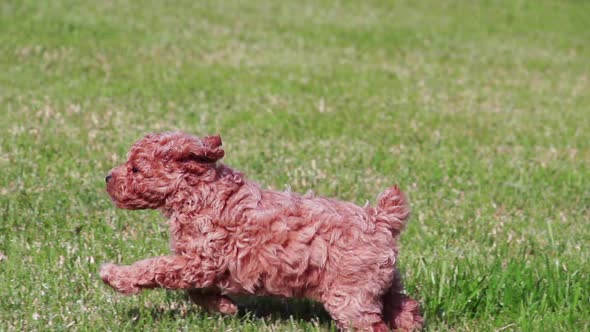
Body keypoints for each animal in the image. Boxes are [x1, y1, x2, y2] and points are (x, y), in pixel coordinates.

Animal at [103, 132, 426, 332]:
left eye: (135, 169)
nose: (106, 177)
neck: (198, 191)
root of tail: (380, 218)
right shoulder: (202, 264)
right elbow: (196, 291)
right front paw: (224, 307)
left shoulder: (200, 260)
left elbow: (155, 268)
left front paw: (115, 275)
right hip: (381, 281)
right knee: (405, 307)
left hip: (349, 293)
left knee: (373, 324)